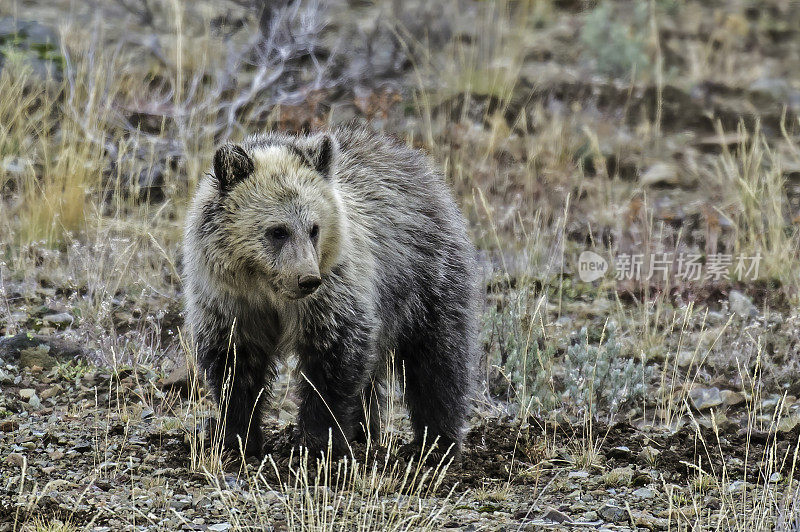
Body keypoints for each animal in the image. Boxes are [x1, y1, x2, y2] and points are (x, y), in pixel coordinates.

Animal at [184, 124, 478, 458]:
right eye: (278, 231)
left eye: (314, 228)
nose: (307, 279)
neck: (270, 292)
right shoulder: (231, 303)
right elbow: (234, 368)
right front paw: (237, 440)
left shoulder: (334, 295)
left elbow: (333, 360)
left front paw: (316, 442)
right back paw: (365, 433)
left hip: (424, 278)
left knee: (437, 361)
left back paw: (435, 442)